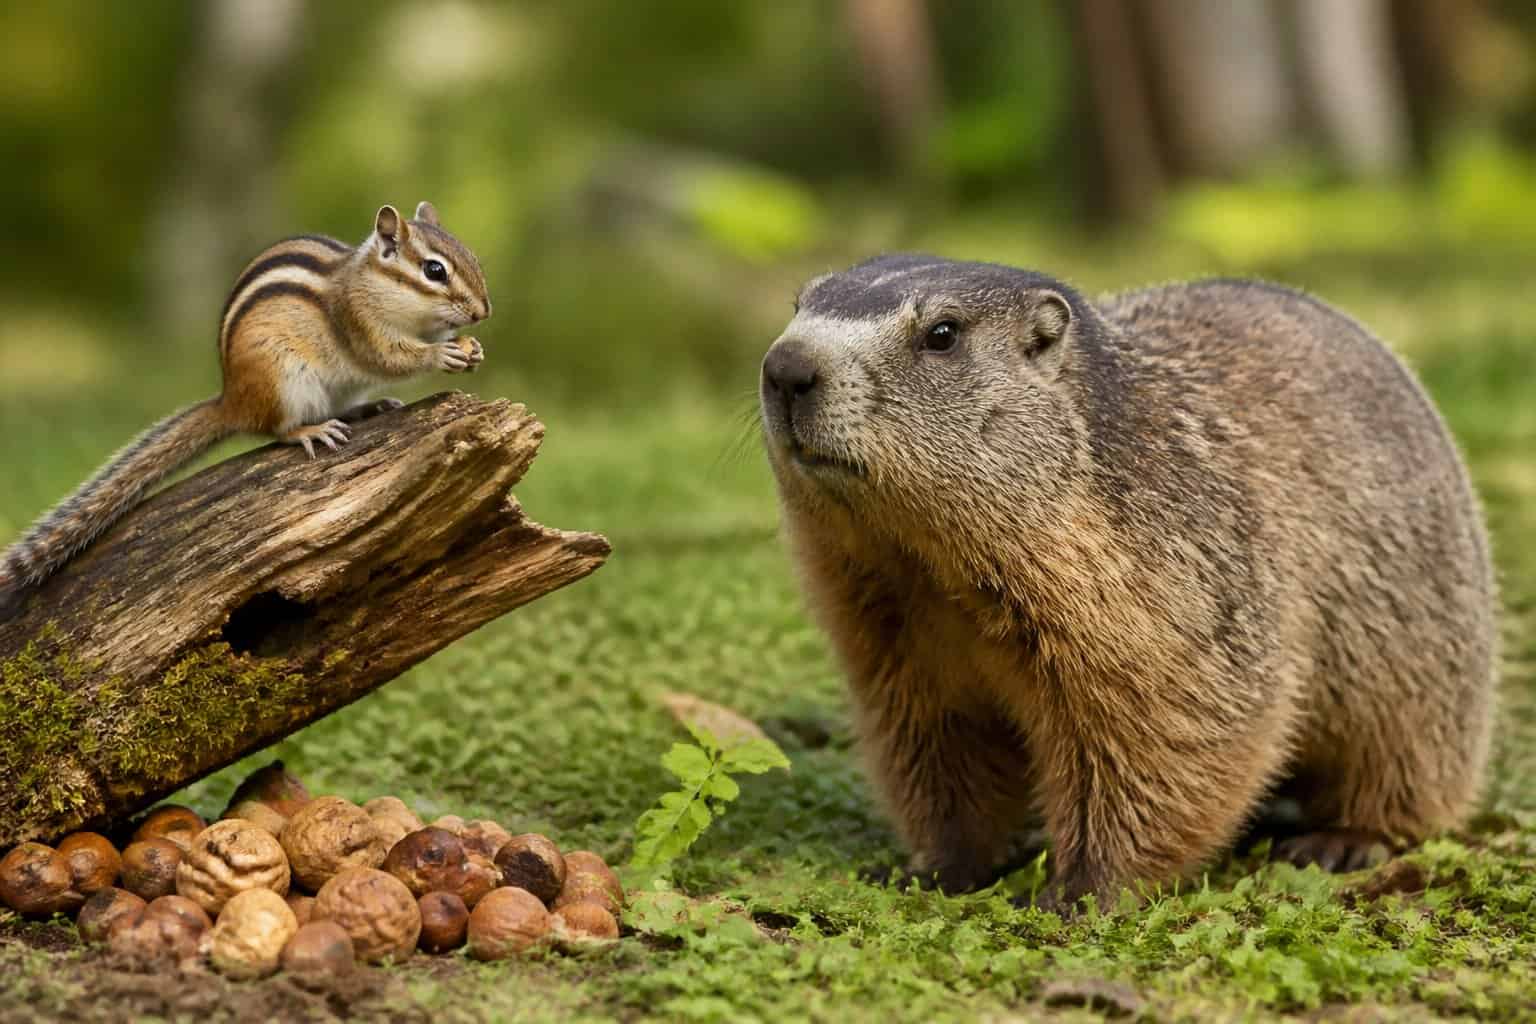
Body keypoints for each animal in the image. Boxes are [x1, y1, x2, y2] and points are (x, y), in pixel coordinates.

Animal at [0, 202, 491, 613]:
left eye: (474, 258)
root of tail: (231, 400)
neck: (371, 283)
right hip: (283, 380)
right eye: (434, 270)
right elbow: (388, 358)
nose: (483, 312)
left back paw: (367, 409)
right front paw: (440, 355)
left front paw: (472, 350)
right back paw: (310, 431)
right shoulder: (357, 323)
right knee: (278, 429)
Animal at [760, 255, 1497, 910]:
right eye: (798, 303)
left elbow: (1163, 725)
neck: (930, 570)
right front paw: (933, 866)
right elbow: (931, 741)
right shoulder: (890, 630)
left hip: (1420, 657)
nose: (784, 367)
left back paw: (1344, 839)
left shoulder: (1154, 586)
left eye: (942, 333)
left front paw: (1082, 890)